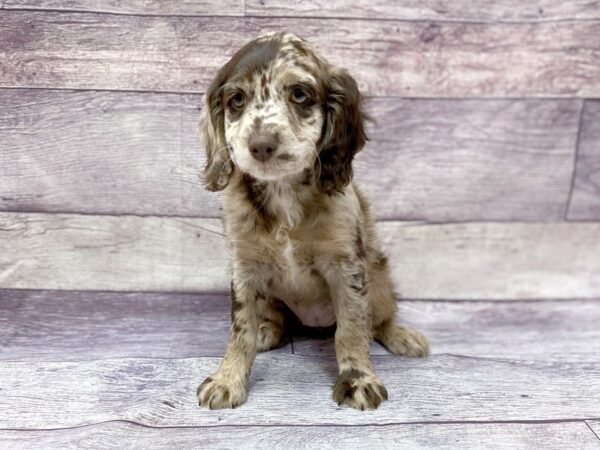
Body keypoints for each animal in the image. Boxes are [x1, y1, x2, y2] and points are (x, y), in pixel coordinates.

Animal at [199, 31, 428, 412]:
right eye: (237, 100)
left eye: (299, 94)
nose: (260, 145)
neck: (283, 192)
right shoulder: (245, 268)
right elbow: (240, 329)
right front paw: (227, 379)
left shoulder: (347, 267)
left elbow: (351, 328)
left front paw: (357, 380)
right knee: (276, 321)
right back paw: (267, 331)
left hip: (380, 285)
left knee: (378, 321)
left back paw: (401, 335)